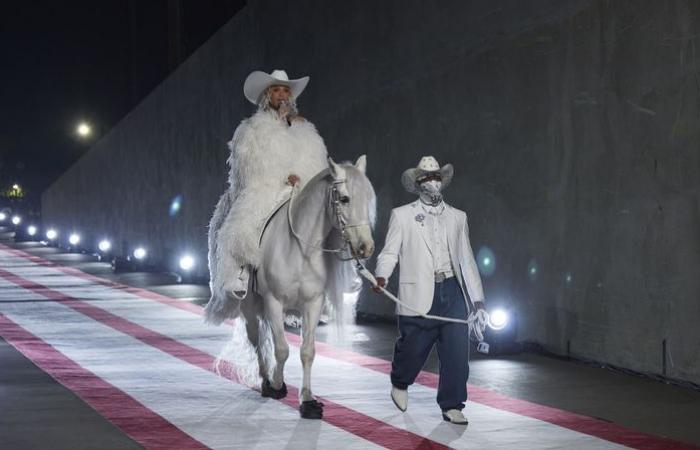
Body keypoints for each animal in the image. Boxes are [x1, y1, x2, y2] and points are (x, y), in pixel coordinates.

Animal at [209, 156, 374, 420]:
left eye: (368, 198)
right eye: (345, 199)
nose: (366, 247)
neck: (299, 250)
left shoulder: (312, 304)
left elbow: (307, 351)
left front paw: (307, 401)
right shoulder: (273, 302)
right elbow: (282, 349)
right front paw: (277, 385)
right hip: (250, 306)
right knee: (256, 339)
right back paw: (266, 381)